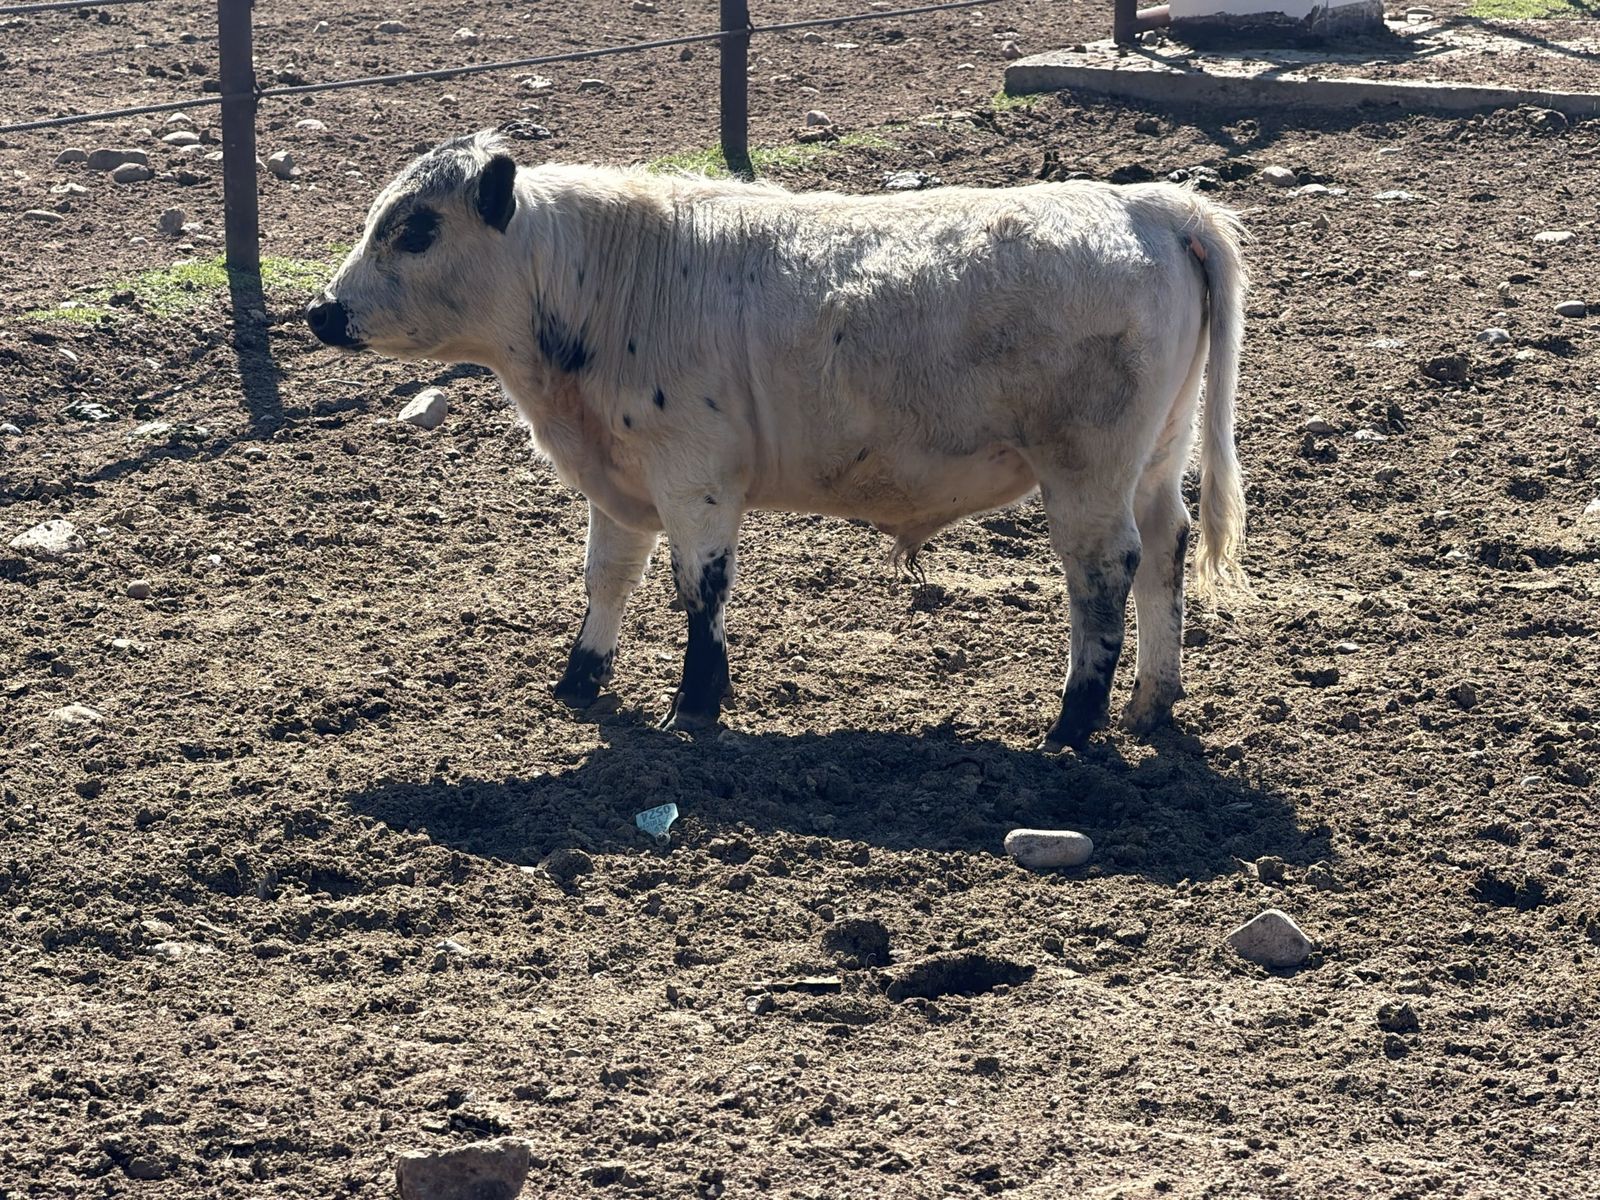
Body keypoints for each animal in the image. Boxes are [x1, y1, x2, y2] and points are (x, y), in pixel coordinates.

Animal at [306, 131, 1247, 750]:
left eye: (416, 229)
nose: (320, 310)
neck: (610, 282)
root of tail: (1147, 201)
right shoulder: (621, 483)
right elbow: (607, 578)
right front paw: (579, 681)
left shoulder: (694, 474)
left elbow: (699, 588)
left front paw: (695, 703)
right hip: (1155, 458)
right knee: (1166, 549)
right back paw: (1151, 703)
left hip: (1087, 471)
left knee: (1104, 574)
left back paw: (1074, 724)